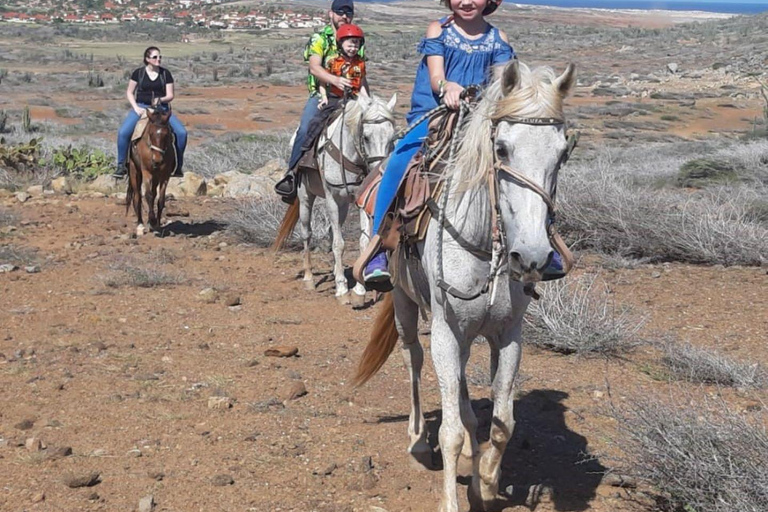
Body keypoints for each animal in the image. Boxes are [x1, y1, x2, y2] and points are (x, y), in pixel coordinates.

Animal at [127, 109, 178, 237]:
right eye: (150, 133)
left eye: (166, 135)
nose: (157, 160)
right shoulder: (146, 172)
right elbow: (148, 196)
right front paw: (152, 220)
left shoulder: (165, 175)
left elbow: (161, 199)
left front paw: (156, 224)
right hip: (135, 172)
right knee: (137, 197)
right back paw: (140, 225)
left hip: (155, 177)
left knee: (153, 193)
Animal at [274, 94, 396, 306]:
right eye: (366, 137)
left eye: (392, 137)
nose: (378, 176)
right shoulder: (331, 198)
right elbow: (339, 244)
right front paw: (342, 290)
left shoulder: (359, 201)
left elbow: (362, 242)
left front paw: (359, 291)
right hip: (306, 197)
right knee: (306, 233)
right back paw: (309, 278)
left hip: (344, 205)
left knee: (332, 232)